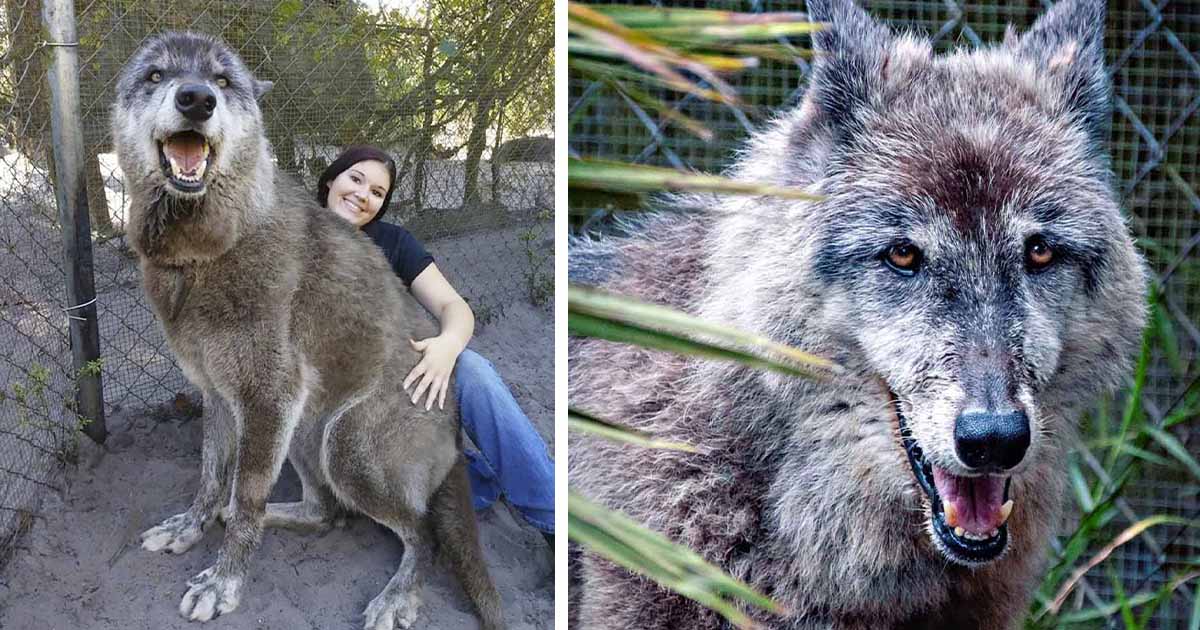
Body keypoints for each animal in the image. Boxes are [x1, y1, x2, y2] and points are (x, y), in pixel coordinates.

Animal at [110, 32, 504, 630]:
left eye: (223, 81)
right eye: (155, 75)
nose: (197, 99)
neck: (208, 249)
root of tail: (456, 430)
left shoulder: (267, 397)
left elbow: (245, 495)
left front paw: (223, 583)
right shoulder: (221, 397)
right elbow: (211, 477)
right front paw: (190, 526)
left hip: (345, 445)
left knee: (423, 533)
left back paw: (397, 596)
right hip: (303, 430)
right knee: (326, 514)